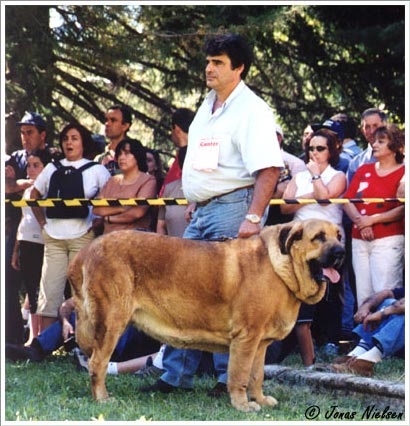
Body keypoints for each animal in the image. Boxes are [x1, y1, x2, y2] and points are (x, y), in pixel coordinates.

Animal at [69, 218, 344, 412]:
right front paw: (242, 405)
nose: (341, 252)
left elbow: (257, 376)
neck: (281, 268)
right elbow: (240, 375)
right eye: (318, 237)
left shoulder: (260, 343)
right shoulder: (247, 339)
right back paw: (103, 399)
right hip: (112, 323)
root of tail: (86, 251)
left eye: (339, 236)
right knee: (97, 363)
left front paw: (260, 399)